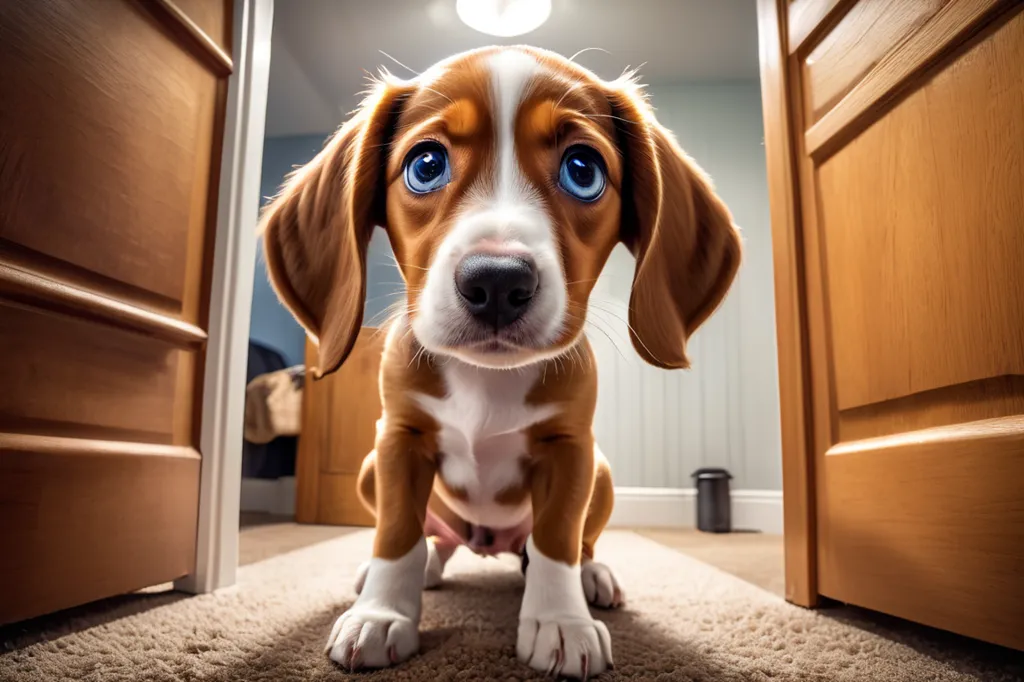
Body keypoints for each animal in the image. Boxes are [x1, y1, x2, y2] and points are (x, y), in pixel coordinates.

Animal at [262, 45, 745, 675]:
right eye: (425, 164)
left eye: (583, 170)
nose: (495, 281)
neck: (486, 379)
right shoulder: (397, 440)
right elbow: (396, 533)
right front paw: (381, 614)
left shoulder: (570, 450)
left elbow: (558, 539)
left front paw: (562, 623)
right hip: (371, 468)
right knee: (435, 538)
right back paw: (425, 567)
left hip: (602, 473)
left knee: (566, 543)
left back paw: (592, 576)